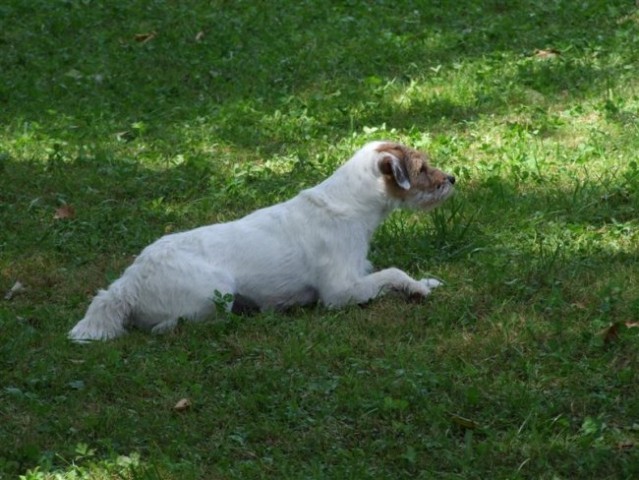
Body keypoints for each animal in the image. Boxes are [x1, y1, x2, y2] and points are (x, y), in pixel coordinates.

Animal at [69, 141, 456, 344]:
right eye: (422, 169)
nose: (452, 178)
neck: (350, 204)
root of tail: (127, 284)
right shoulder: (340, 291)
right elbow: (393, 272)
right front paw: (416, 288)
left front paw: (425, 281)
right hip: (215, 291)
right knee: (170, 326)